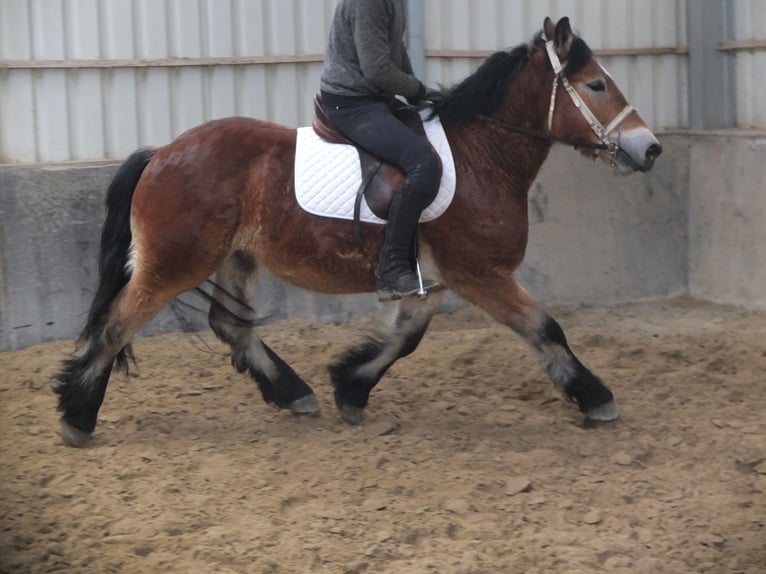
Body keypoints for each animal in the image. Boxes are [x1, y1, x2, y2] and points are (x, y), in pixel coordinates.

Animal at [55, 16, 664, 450]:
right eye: (596, 84)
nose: (651, 148)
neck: (482, 155)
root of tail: (161, 153)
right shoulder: (480, 274)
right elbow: (546, 329)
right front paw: (596, 398)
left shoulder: (433, 278)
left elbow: (405, 338)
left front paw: (350, 388)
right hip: (174, 264)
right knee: (116, 325)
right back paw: (77, 417)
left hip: (237, 257)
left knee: (230, 326)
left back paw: (295, 394)